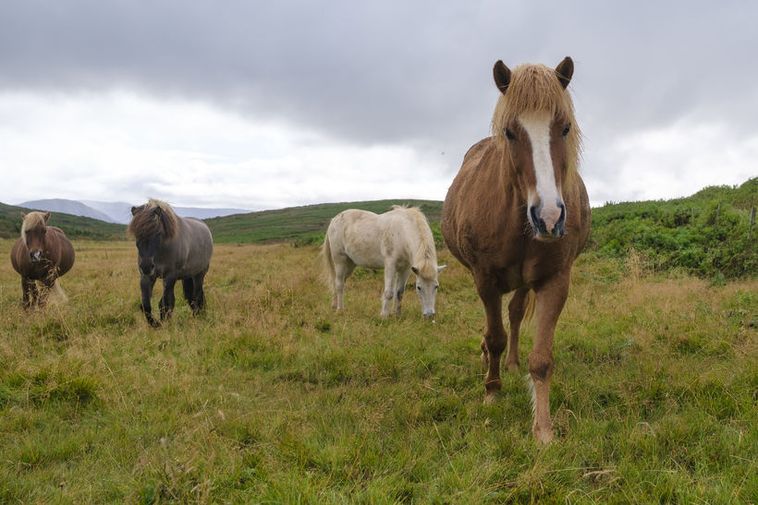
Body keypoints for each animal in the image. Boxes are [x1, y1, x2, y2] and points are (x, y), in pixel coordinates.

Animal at [440, 56, 592, 440]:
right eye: (510, 132)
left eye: (564, 127)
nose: (549, 217)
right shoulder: (484, 278)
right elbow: (494, 335)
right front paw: (491, 392)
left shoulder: (555, 281)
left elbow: (542, 358)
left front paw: (544, 430)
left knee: (516, 313)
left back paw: (510, 361)